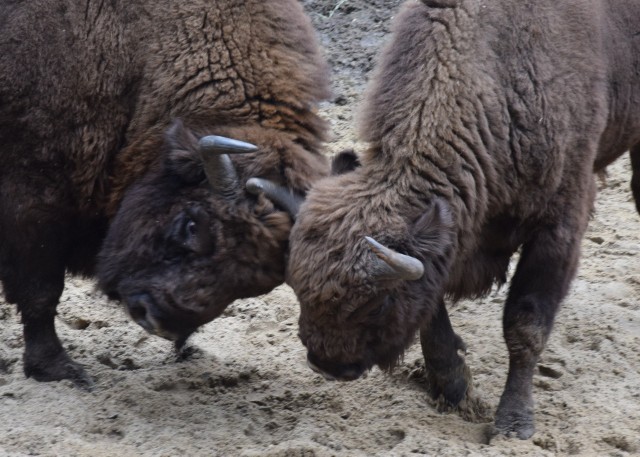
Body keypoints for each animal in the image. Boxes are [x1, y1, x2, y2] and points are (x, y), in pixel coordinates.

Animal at [0, 0, 330, 384]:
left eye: (256, 283)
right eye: (191, 225)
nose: (155, 318)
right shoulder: (34, 196)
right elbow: (42, 291)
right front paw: (59, 369)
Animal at [286, 0, 640, 440]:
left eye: (377, 304)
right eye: (298, 289)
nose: (326, 365)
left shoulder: (559, 227)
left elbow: (525, 324)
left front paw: (514, 423)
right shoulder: (449, 239)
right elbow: (431, 313)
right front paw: (453, 387)